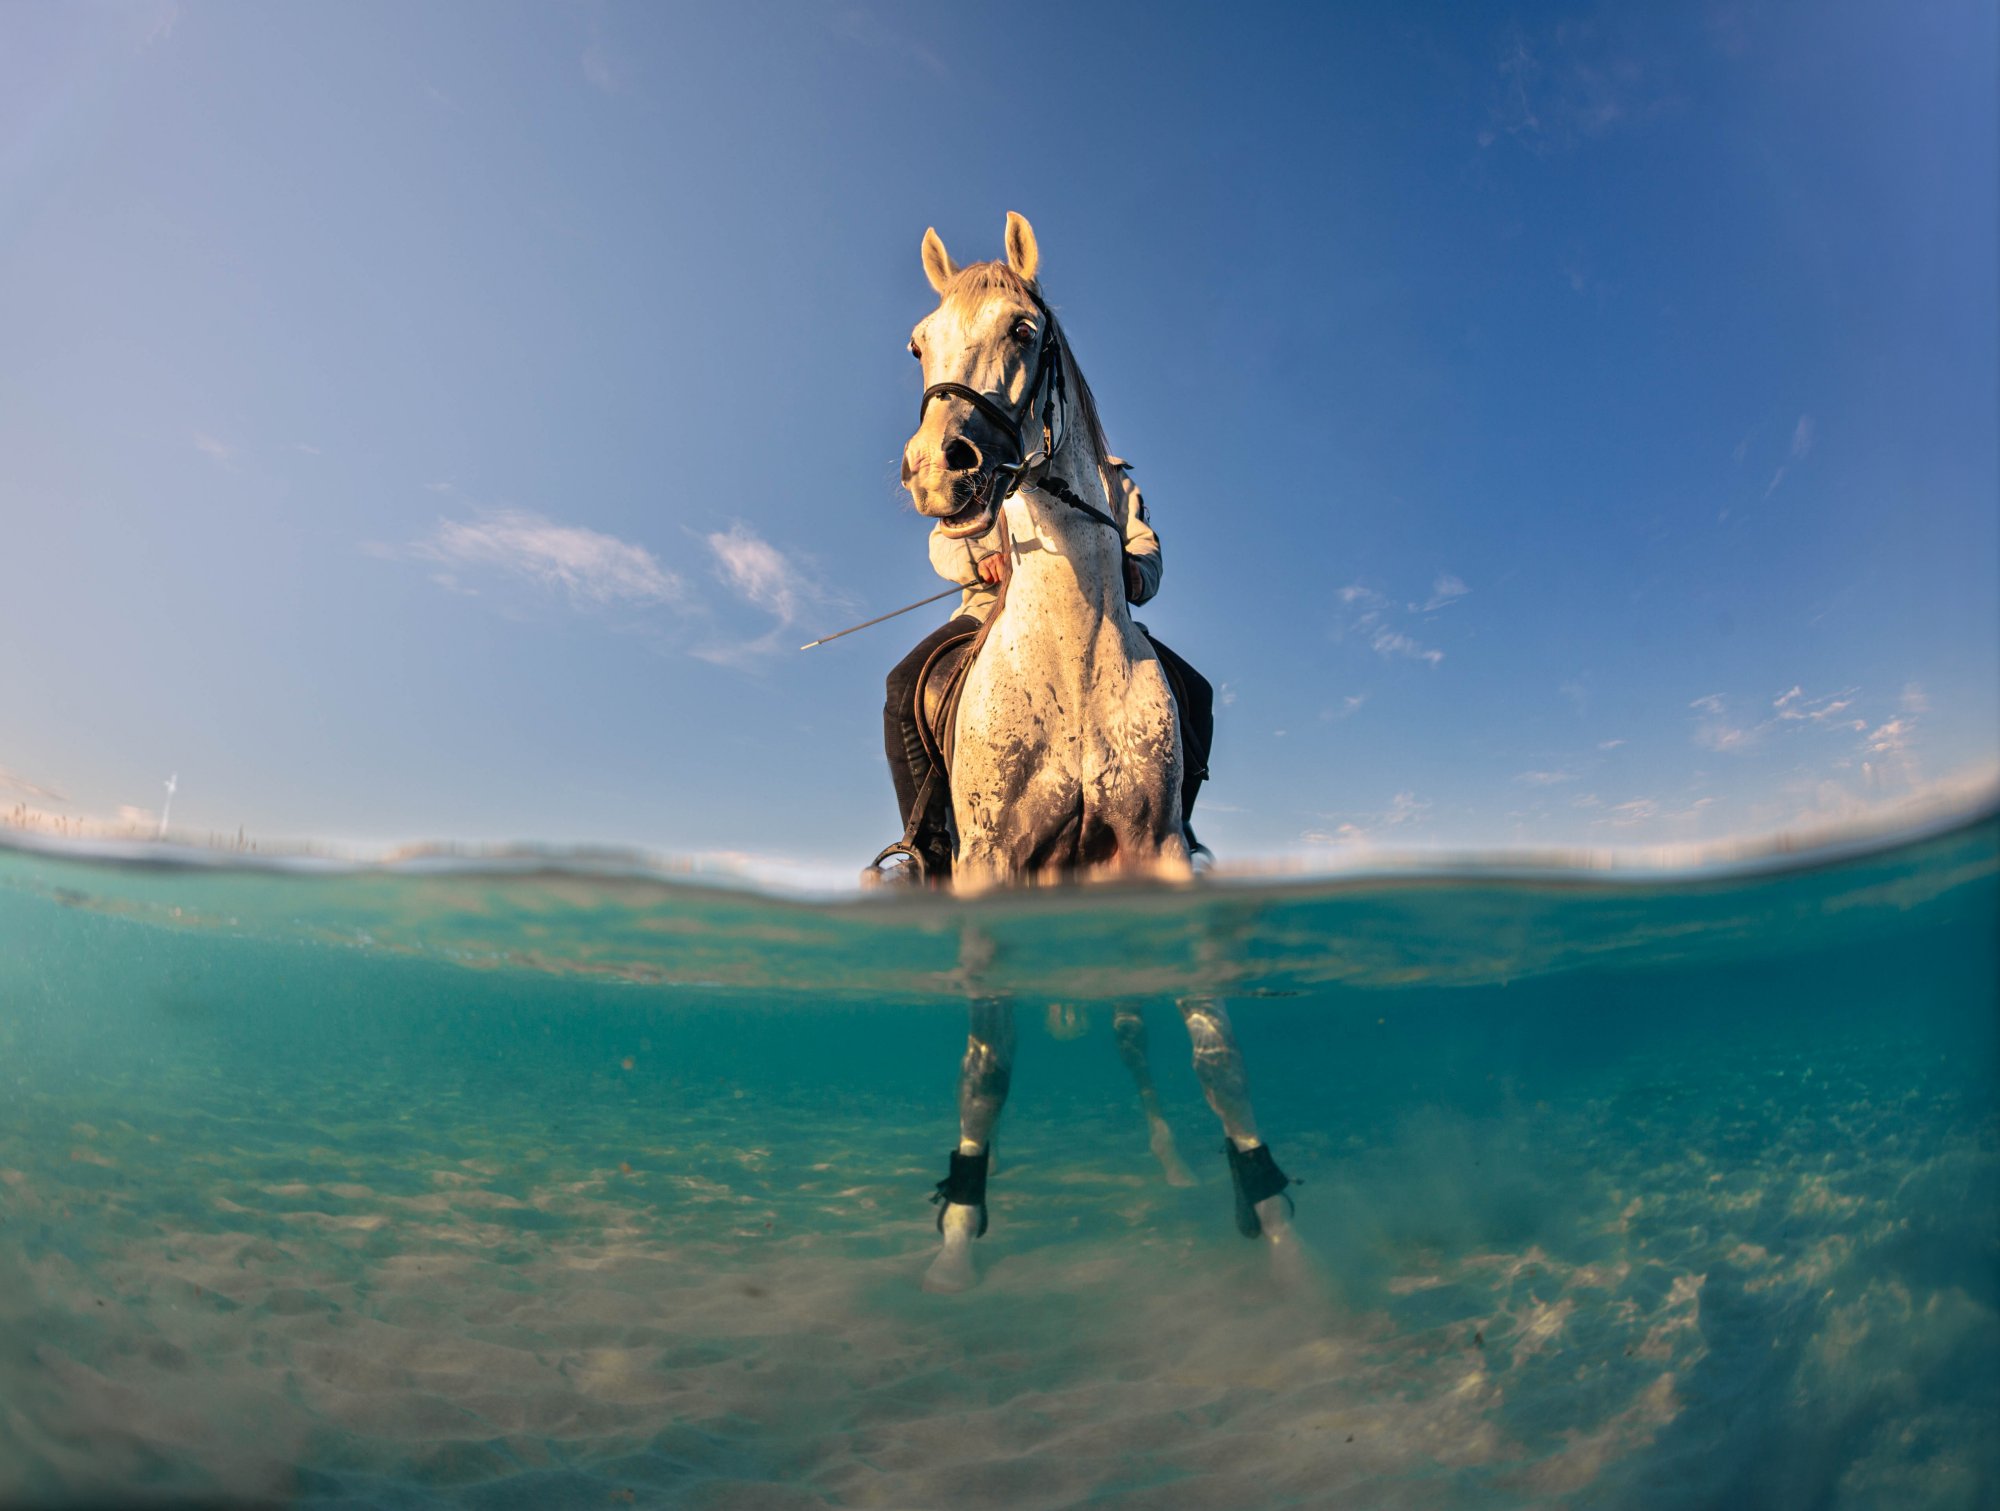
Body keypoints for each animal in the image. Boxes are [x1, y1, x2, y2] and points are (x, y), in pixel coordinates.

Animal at [898, 213, 1300, 1292]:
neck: (1067, 652)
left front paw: (1271, 1212)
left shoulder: (1155, 852)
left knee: (1127, 1026)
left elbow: (1214, 1047)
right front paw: (958, 1233)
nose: (939, 465)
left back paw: (1171, 1165)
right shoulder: (989, 865)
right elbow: (988, 1057)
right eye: (918, 344)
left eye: (1024, 329)